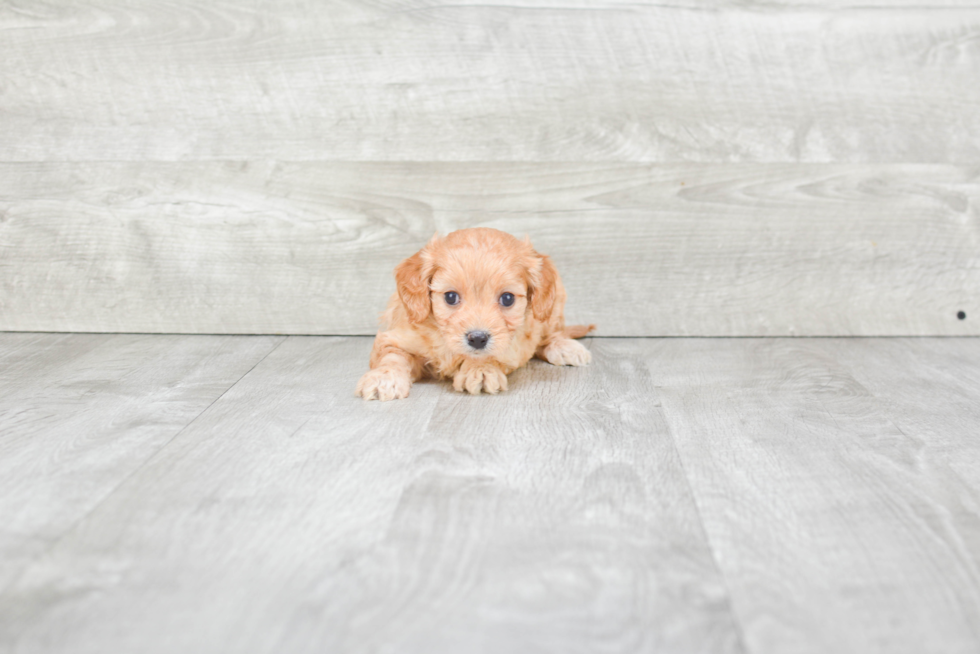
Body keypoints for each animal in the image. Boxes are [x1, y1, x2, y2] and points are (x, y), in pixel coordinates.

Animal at [356, 231, 592, 404]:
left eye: (507, 299)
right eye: (450, 297)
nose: (478, 338)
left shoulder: (512, 344)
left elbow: (491, 355)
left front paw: (481, 369)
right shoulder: (396, 337)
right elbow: (392, 357)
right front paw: (384, 378)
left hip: (554, 304)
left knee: (551, 333)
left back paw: (564, 347)